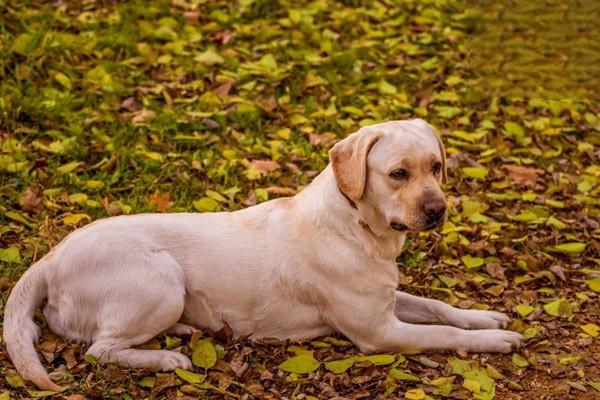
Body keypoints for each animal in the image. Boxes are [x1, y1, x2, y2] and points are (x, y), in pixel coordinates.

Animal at [3, 119, 520, 390]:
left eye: (435, 166)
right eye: (398, 174)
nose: (438, 209)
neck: (356, 224)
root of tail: (49, 259)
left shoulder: (387, 300)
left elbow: (438, 307)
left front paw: (484, 317)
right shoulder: (380, 332)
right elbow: (441, 333)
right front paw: (495, 341)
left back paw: (185, 329)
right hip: (161, 279)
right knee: (101, 350)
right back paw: (167, 358)